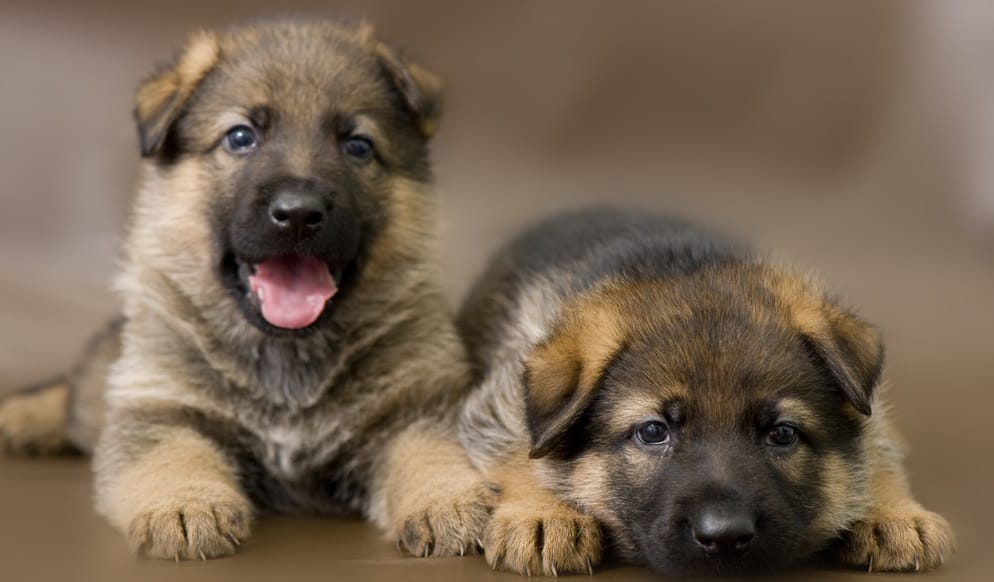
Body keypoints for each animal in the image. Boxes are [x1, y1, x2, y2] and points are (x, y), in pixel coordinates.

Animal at [0, 19, 494, 560]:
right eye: (241, 137)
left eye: (358, 145)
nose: (298, 213)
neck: (287, 357)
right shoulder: (159, 407)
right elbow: (172, 454)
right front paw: (184, 504)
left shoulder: (415, 408)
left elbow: (430, 450)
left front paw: (448, 500)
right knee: (78, 386)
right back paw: (21, 418)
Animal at [458, 210, 952, 580]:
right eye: (652, 432)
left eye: (783, 434)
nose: (725, 536)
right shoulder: (499, 400)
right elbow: (520, 446)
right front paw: (543, 513)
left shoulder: (869, 411)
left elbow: (876, 444)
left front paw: (891, 511)